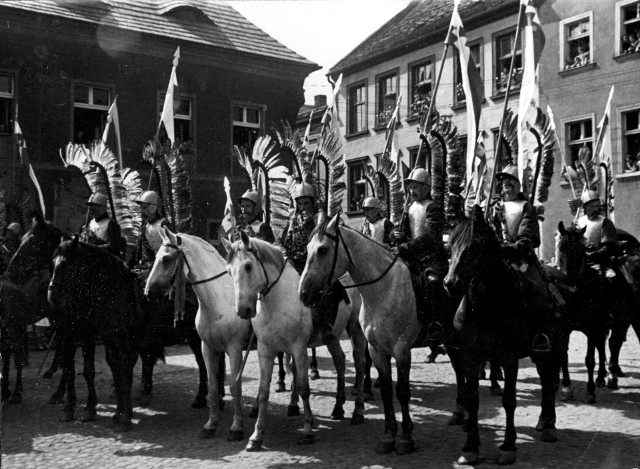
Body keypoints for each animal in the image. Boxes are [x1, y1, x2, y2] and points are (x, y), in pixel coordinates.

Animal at [47, 236, 141, 430]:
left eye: (69, 265)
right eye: (52, 264)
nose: (52, 297)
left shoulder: (111, 335)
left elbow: (109, 367)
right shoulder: (74, 333)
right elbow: (73, 369)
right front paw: (72, 407)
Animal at [146, 229, 251, 440]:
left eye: (166, 258)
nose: (148, 292)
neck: (220, 300)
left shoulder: (235, 349)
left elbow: (235, 386)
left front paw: (236, 427)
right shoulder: (208, 348)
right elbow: (212, 383)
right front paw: (211, 424)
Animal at [224, 230, 364, 450]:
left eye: (248, 265)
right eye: (229, 271)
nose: (243, 310)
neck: (279, 300)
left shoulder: (298, 348)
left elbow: (303, 388)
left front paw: (307, 430)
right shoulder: (266, 350)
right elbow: (263, 391)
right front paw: (256, 435)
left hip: (355, 331)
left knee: (359, 364)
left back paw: (357, 411)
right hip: (332, 338)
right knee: (340, 362)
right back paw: (338, 407)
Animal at [300, 212, 420, 454]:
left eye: (323, 250)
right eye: (306, 248)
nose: (304, 294)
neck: (384, 289)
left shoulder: (402, 350)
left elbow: (402, 391)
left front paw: (405, 438)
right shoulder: (377, 349)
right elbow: (387, 391)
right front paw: (388, 436)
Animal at [442, 207, 556, 466]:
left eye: (474, 247)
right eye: (450, 246)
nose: (450, 284)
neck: (485, 306)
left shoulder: (509, 358)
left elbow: (509, 400)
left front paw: (508, 447)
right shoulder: (470, 356)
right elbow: (473, 398)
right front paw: (470, 447)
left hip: (548, 349)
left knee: (549, 382)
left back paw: (548, 426)